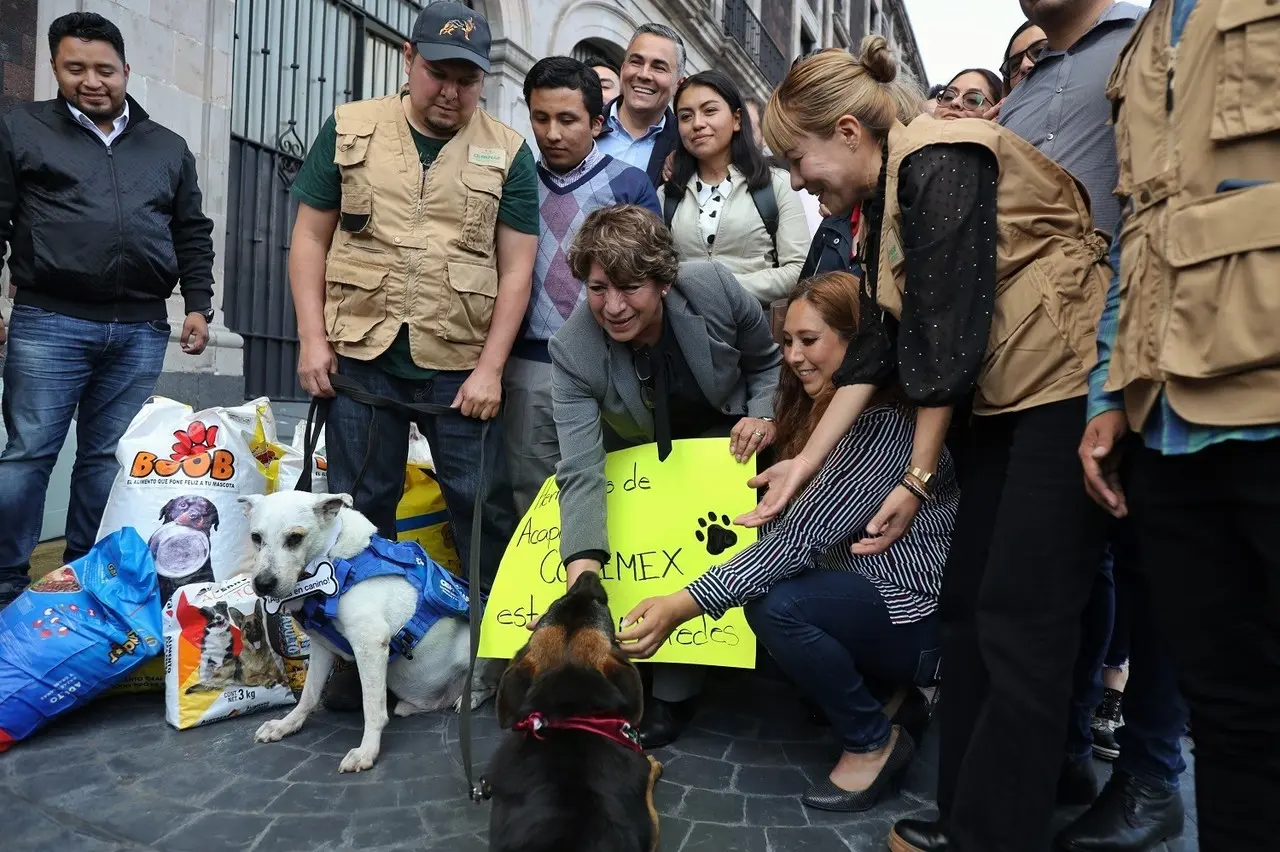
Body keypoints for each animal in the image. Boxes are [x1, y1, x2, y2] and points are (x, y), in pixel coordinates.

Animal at [238, 488, 496, 772]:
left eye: (295, 537)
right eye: (256, 537)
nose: (262, 584)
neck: (330, 561)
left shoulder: (369, 644)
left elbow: (373, 709)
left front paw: (367, 751)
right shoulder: (321, 649)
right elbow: (309, 695)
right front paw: (286, 725)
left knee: (491, 687)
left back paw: (471, 698)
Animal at [486, 568, 665, 849]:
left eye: (553, 604)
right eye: (601, 606)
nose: (588, 572)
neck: (569, 712)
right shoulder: (652, 826)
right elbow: (648, 781)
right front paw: (653, 764)